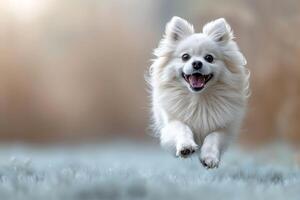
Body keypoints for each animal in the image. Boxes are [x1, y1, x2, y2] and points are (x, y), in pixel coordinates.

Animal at [149, 16, 250, 168]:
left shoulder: (224, 128)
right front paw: (186, 147)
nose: (197, 63)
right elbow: (182, 127)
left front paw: (210, 157)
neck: (198, 98)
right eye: (185, 57)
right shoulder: (171, 122)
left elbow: (213, 137)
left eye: (209, 58)